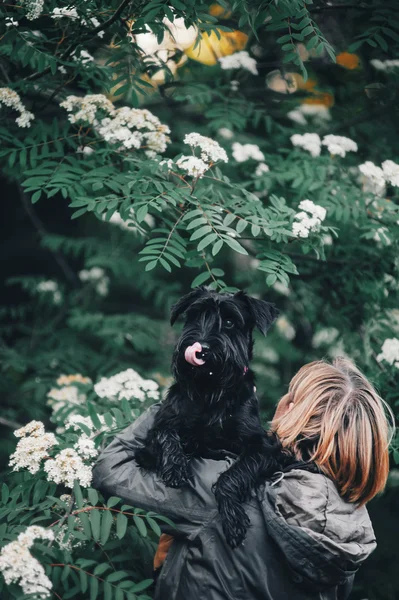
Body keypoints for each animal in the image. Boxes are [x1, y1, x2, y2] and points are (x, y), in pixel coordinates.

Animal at [136, 288, 290, 548]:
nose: (200, 349)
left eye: (229, 322)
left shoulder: (264, 447)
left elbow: (232, 475)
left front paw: (233, 518)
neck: (209, 391)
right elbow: (166, 434)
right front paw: (176, 466)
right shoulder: (161, 425)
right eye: (195, 316)